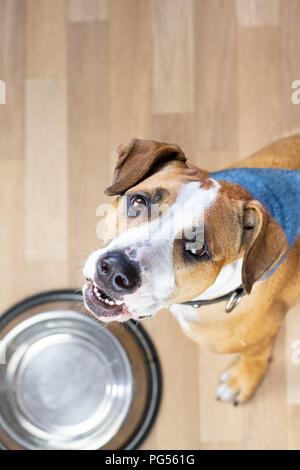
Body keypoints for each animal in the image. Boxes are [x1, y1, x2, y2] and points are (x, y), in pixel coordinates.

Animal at [82, 135, 300, 404]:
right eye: (139, 201)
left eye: (198, 249)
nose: (115, 270)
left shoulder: (259, 339)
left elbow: (256, 356)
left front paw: (242, 380)